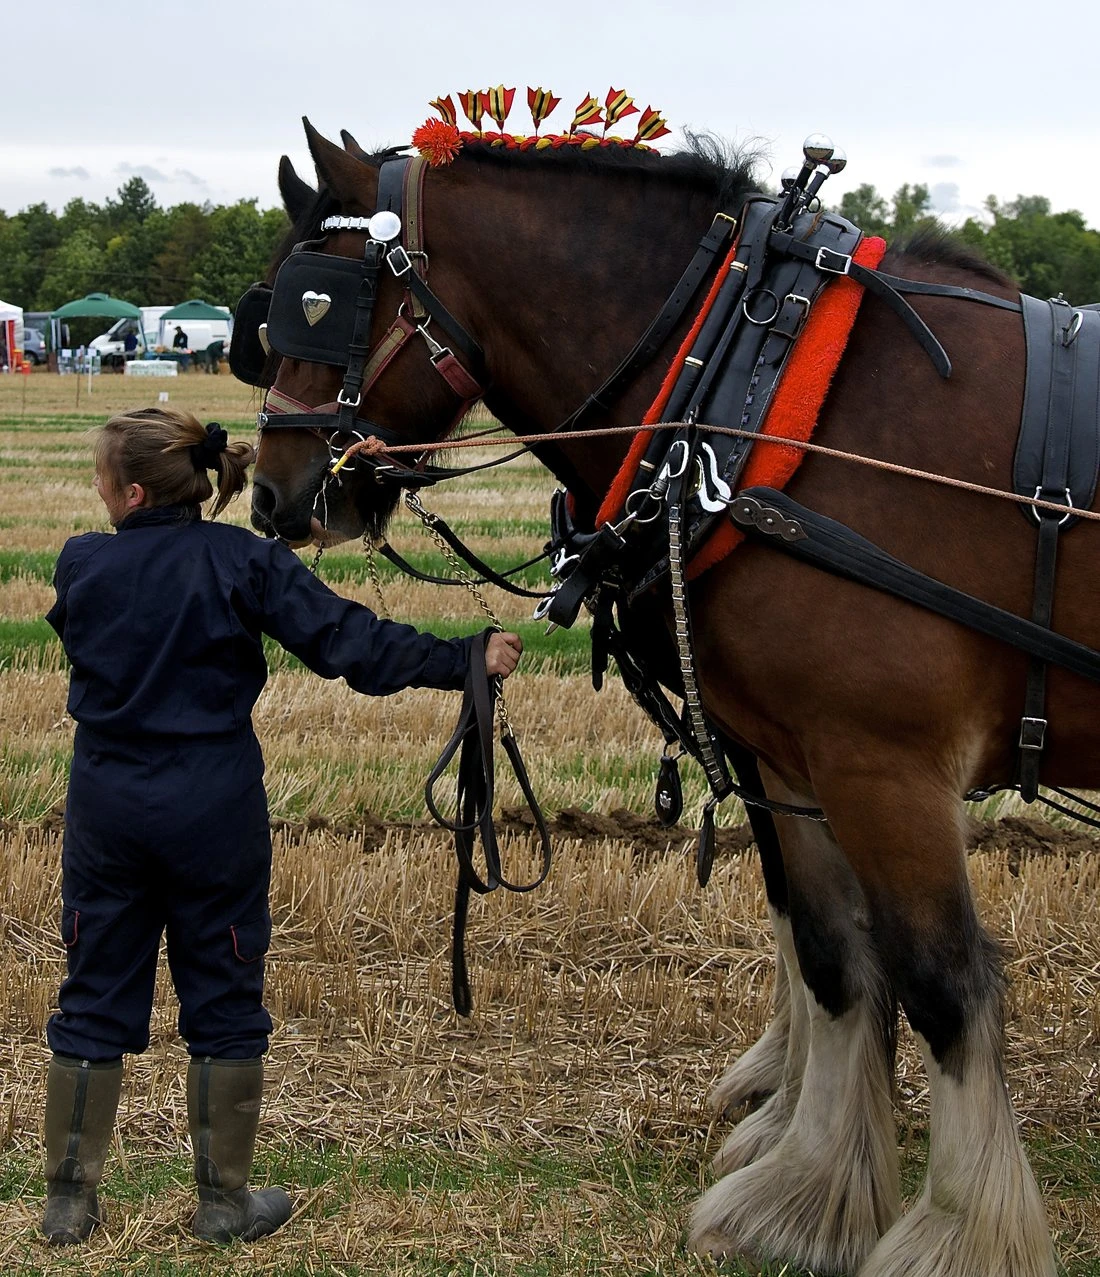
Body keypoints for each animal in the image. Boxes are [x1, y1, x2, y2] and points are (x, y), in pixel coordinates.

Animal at [243, 120, 1100, 1277]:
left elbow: (938, 980)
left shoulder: (881, 763)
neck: (751, 381)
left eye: (316, 303)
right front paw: (804, 1186)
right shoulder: (789, 755)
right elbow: (830, 953)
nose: (272, 496)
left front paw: (963, 1233)